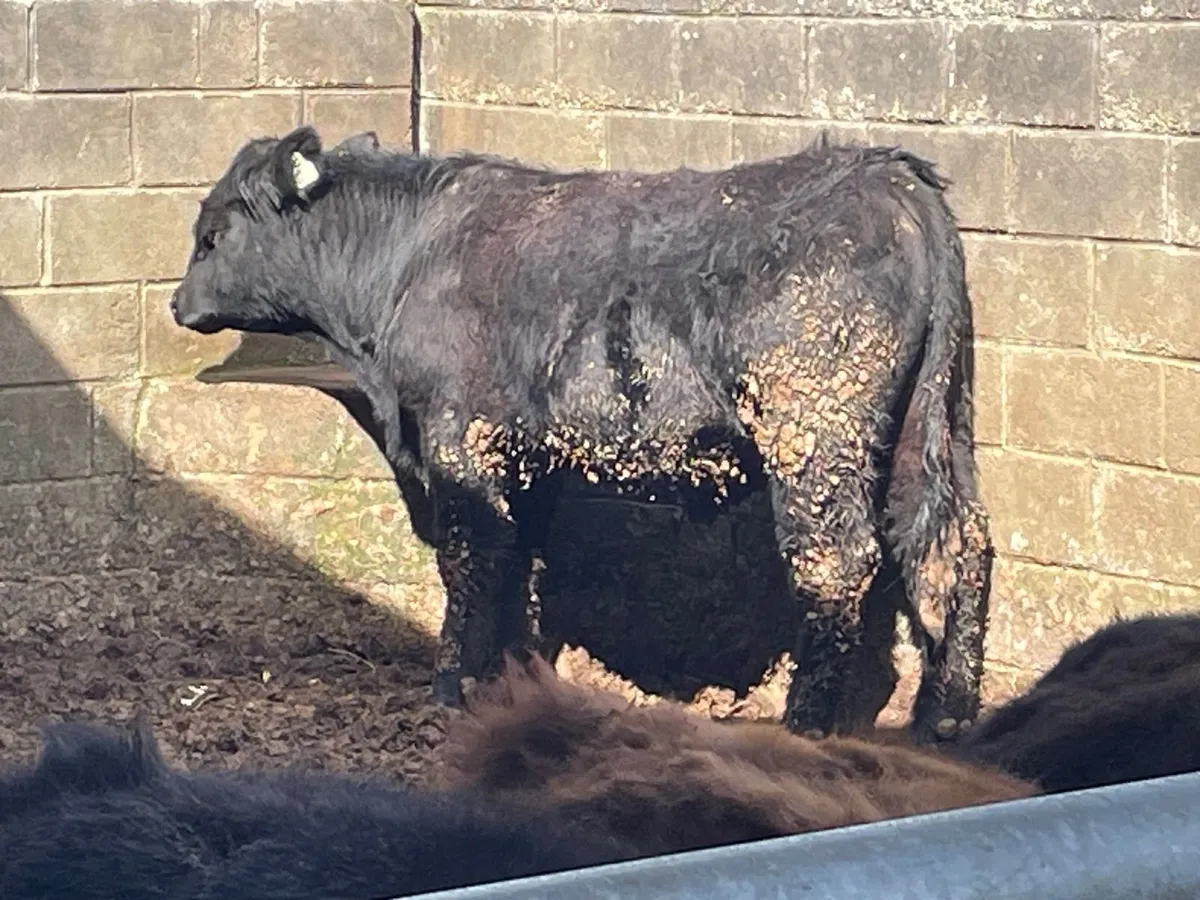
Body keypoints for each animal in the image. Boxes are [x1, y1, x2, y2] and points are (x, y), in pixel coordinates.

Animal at [169, 124, 993, 743]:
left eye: (213, 234)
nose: (178, 303)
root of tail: (888, 174)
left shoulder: (459, 440)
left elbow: (471, 563)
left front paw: (452, 685)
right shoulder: (522, 459)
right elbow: (518, 563)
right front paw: (511, 679)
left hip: (815, 434)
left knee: (839, 562)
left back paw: (806, 723)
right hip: (931, 425)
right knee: (952, 547)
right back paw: (944, 719)